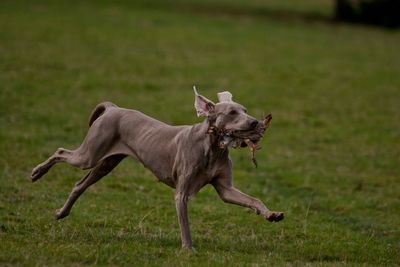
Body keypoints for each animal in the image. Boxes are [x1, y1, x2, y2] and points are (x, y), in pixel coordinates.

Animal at [31, 89, 284, 250]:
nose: (255, 123)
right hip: (89, 155)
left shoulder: (226, 189)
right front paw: (188, 249)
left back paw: (61, 213)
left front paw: (271, 214)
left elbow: (253, 200)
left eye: (245, 110)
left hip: (105, 164)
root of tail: (113, 108)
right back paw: (37, 172)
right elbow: (185, 224)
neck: (212, 147)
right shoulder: (181, 193)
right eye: (231, 113)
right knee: (61, 151)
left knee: (78, 185)